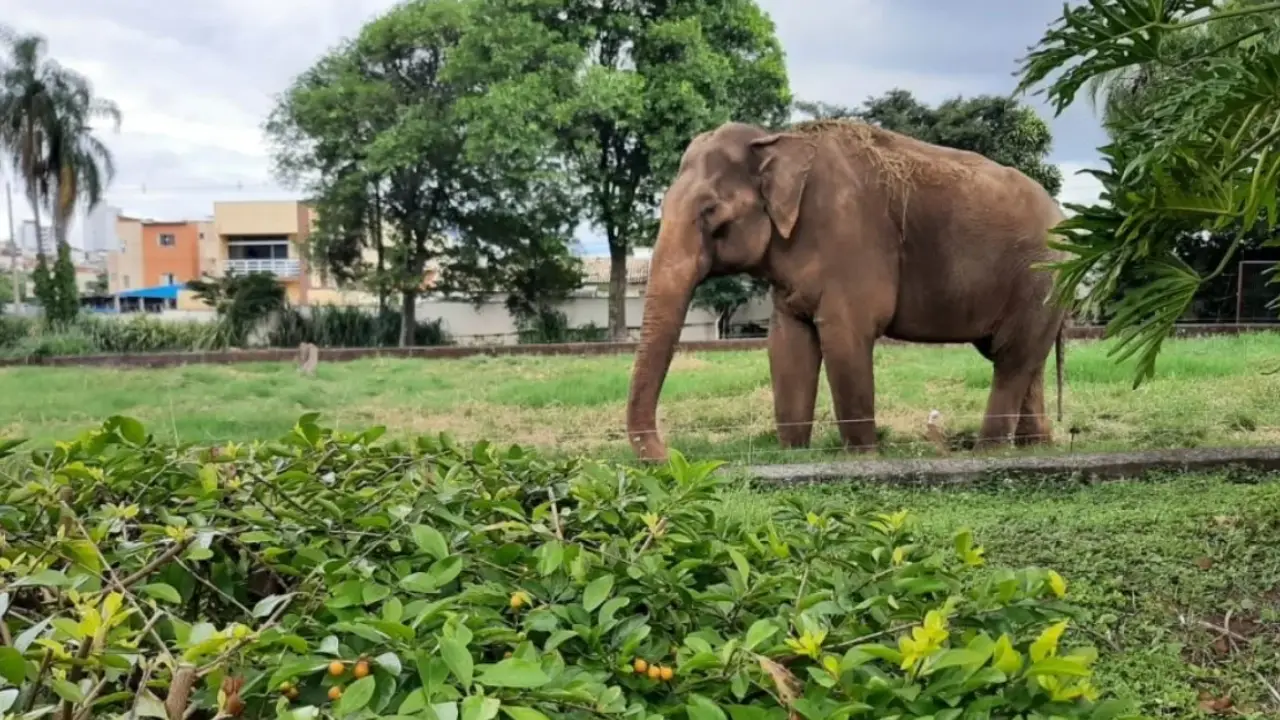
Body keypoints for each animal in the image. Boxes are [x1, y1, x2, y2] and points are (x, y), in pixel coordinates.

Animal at [624, 118, 1068, 462]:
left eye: (710, 212)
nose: (671, 456)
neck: (777, 140)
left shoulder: (850, 241)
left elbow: (845, 339)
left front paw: (862, 457)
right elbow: (787, 345)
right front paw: (793, 454)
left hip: (1040, 278)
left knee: (1011, 359)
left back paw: (988, 452)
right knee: (1022, 359)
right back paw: (1034, 446)